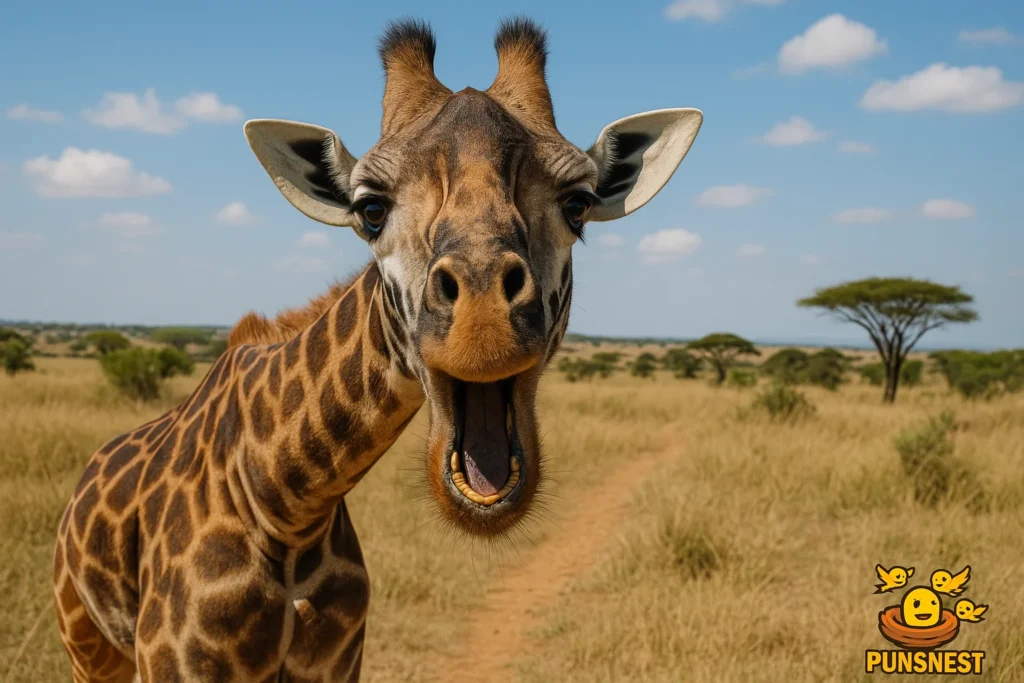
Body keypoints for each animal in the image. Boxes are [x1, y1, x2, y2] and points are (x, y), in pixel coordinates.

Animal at [52, 17, 703, 682]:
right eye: (370, 209)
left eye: (577, 204)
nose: (483, 326)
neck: (287, 508)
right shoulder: (178, 663)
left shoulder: (337, 661)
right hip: (87, 642)